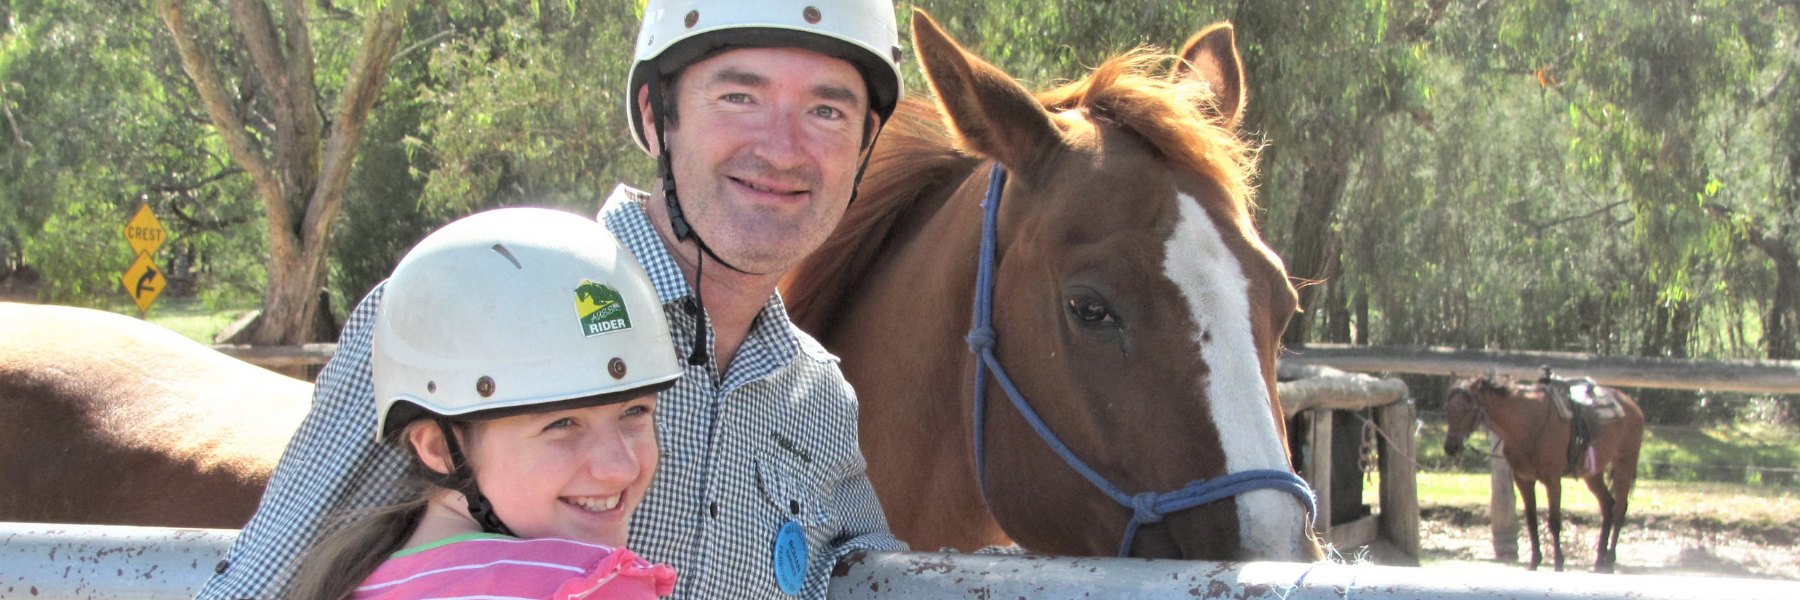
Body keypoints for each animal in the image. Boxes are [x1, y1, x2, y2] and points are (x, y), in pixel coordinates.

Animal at [1442, 376, 1645, 572]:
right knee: (1607, 505)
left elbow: (1554, 521)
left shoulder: (1552, 480)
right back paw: (1599, 561)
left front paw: (1558, 563)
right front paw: (1534, 562)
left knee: (1619, 509)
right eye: (1448, 409)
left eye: (1469, 408)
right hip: (1593, 473)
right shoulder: (1523, 479)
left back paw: (1609, 561)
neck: (1528, 424)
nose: (1451, 447)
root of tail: (1632, 406)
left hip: (1625, 464)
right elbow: (1531, 520)